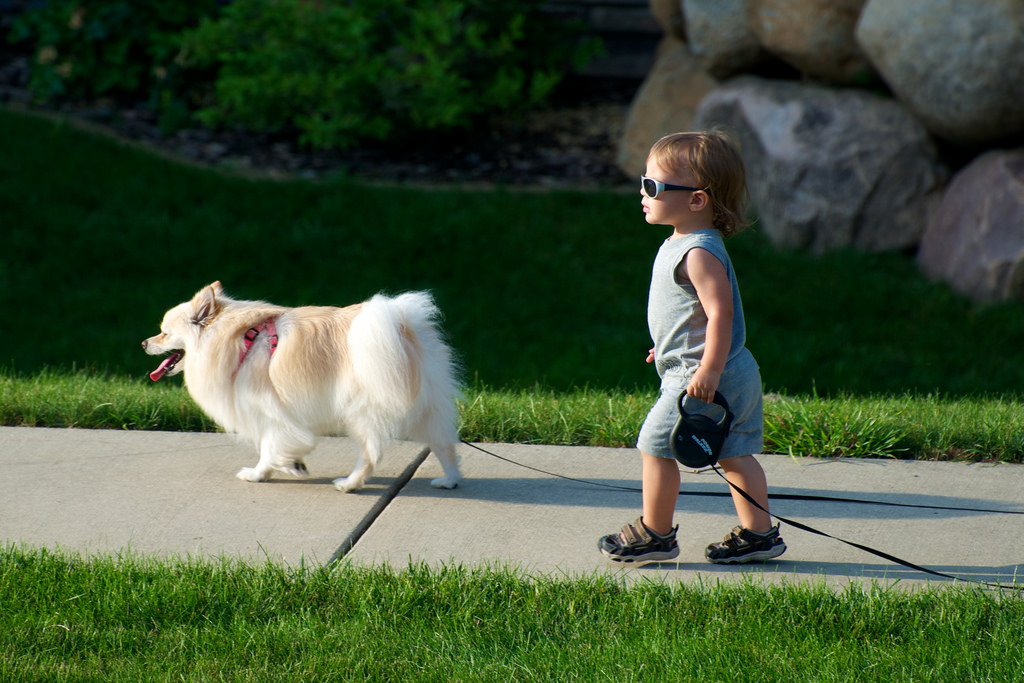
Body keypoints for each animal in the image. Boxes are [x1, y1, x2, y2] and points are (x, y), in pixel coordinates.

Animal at [142, 280, 462, 493]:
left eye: (164, 333)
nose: (144, 342)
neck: (240, 340)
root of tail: (403, 330)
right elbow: (276, 445)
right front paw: (291, 464)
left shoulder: (270, 411)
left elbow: (269, 446)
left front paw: (262, 472)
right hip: (427, 407)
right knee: (445, 444)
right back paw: (449, 480)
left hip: (361, 412)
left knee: (371, 454)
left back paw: (349, 484)